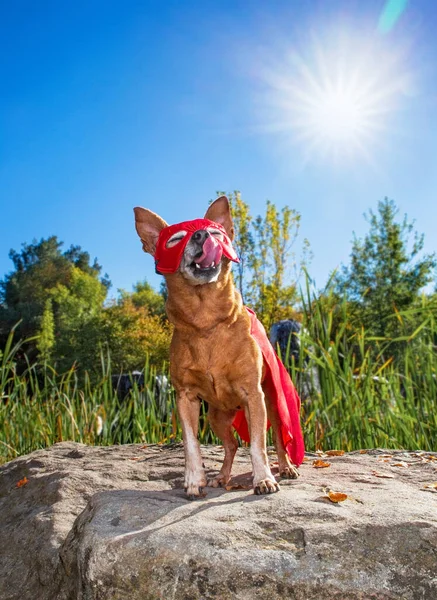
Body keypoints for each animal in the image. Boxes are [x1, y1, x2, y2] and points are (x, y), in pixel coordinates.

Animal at [134, 196, 304, 496]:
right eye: (174, 239)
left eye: (216, 232)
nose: (202, 235)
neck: (207, 322)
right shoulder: (186, 398)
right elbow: (191, 444)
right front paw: (194, 480)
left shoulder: (253, 395)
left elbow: (258, 446)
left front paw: (263, 479)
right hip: (216, 416)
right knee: (232, 445)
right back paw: (222, 477)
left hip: (271, 404)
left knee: (277, 440)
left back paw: (285, 468)